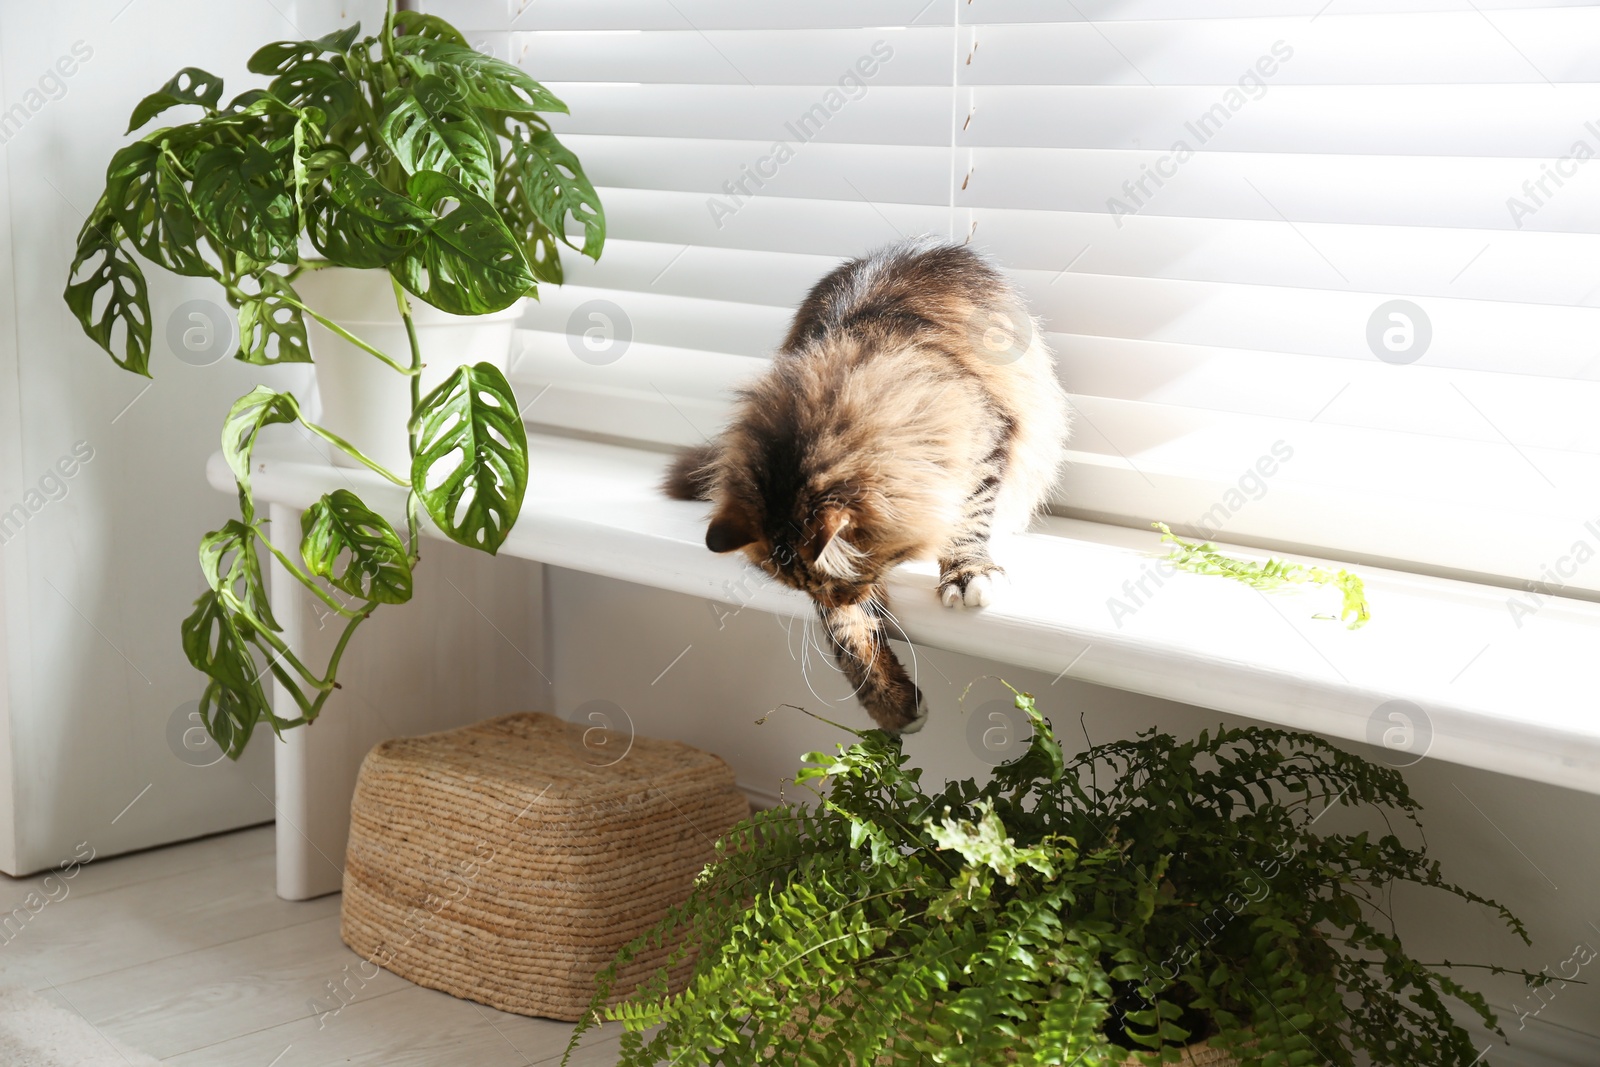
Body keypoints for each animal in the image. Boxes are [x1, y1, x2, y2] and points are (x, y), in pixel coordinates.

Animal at [668, 238, 1068, 735]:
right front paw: (892, 705)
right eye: (813, 591)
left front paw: (966, 574)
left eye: (849, 582)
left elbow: (968, 517)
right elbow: (846, 635)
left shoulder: (986, 436)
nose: (854, 597)